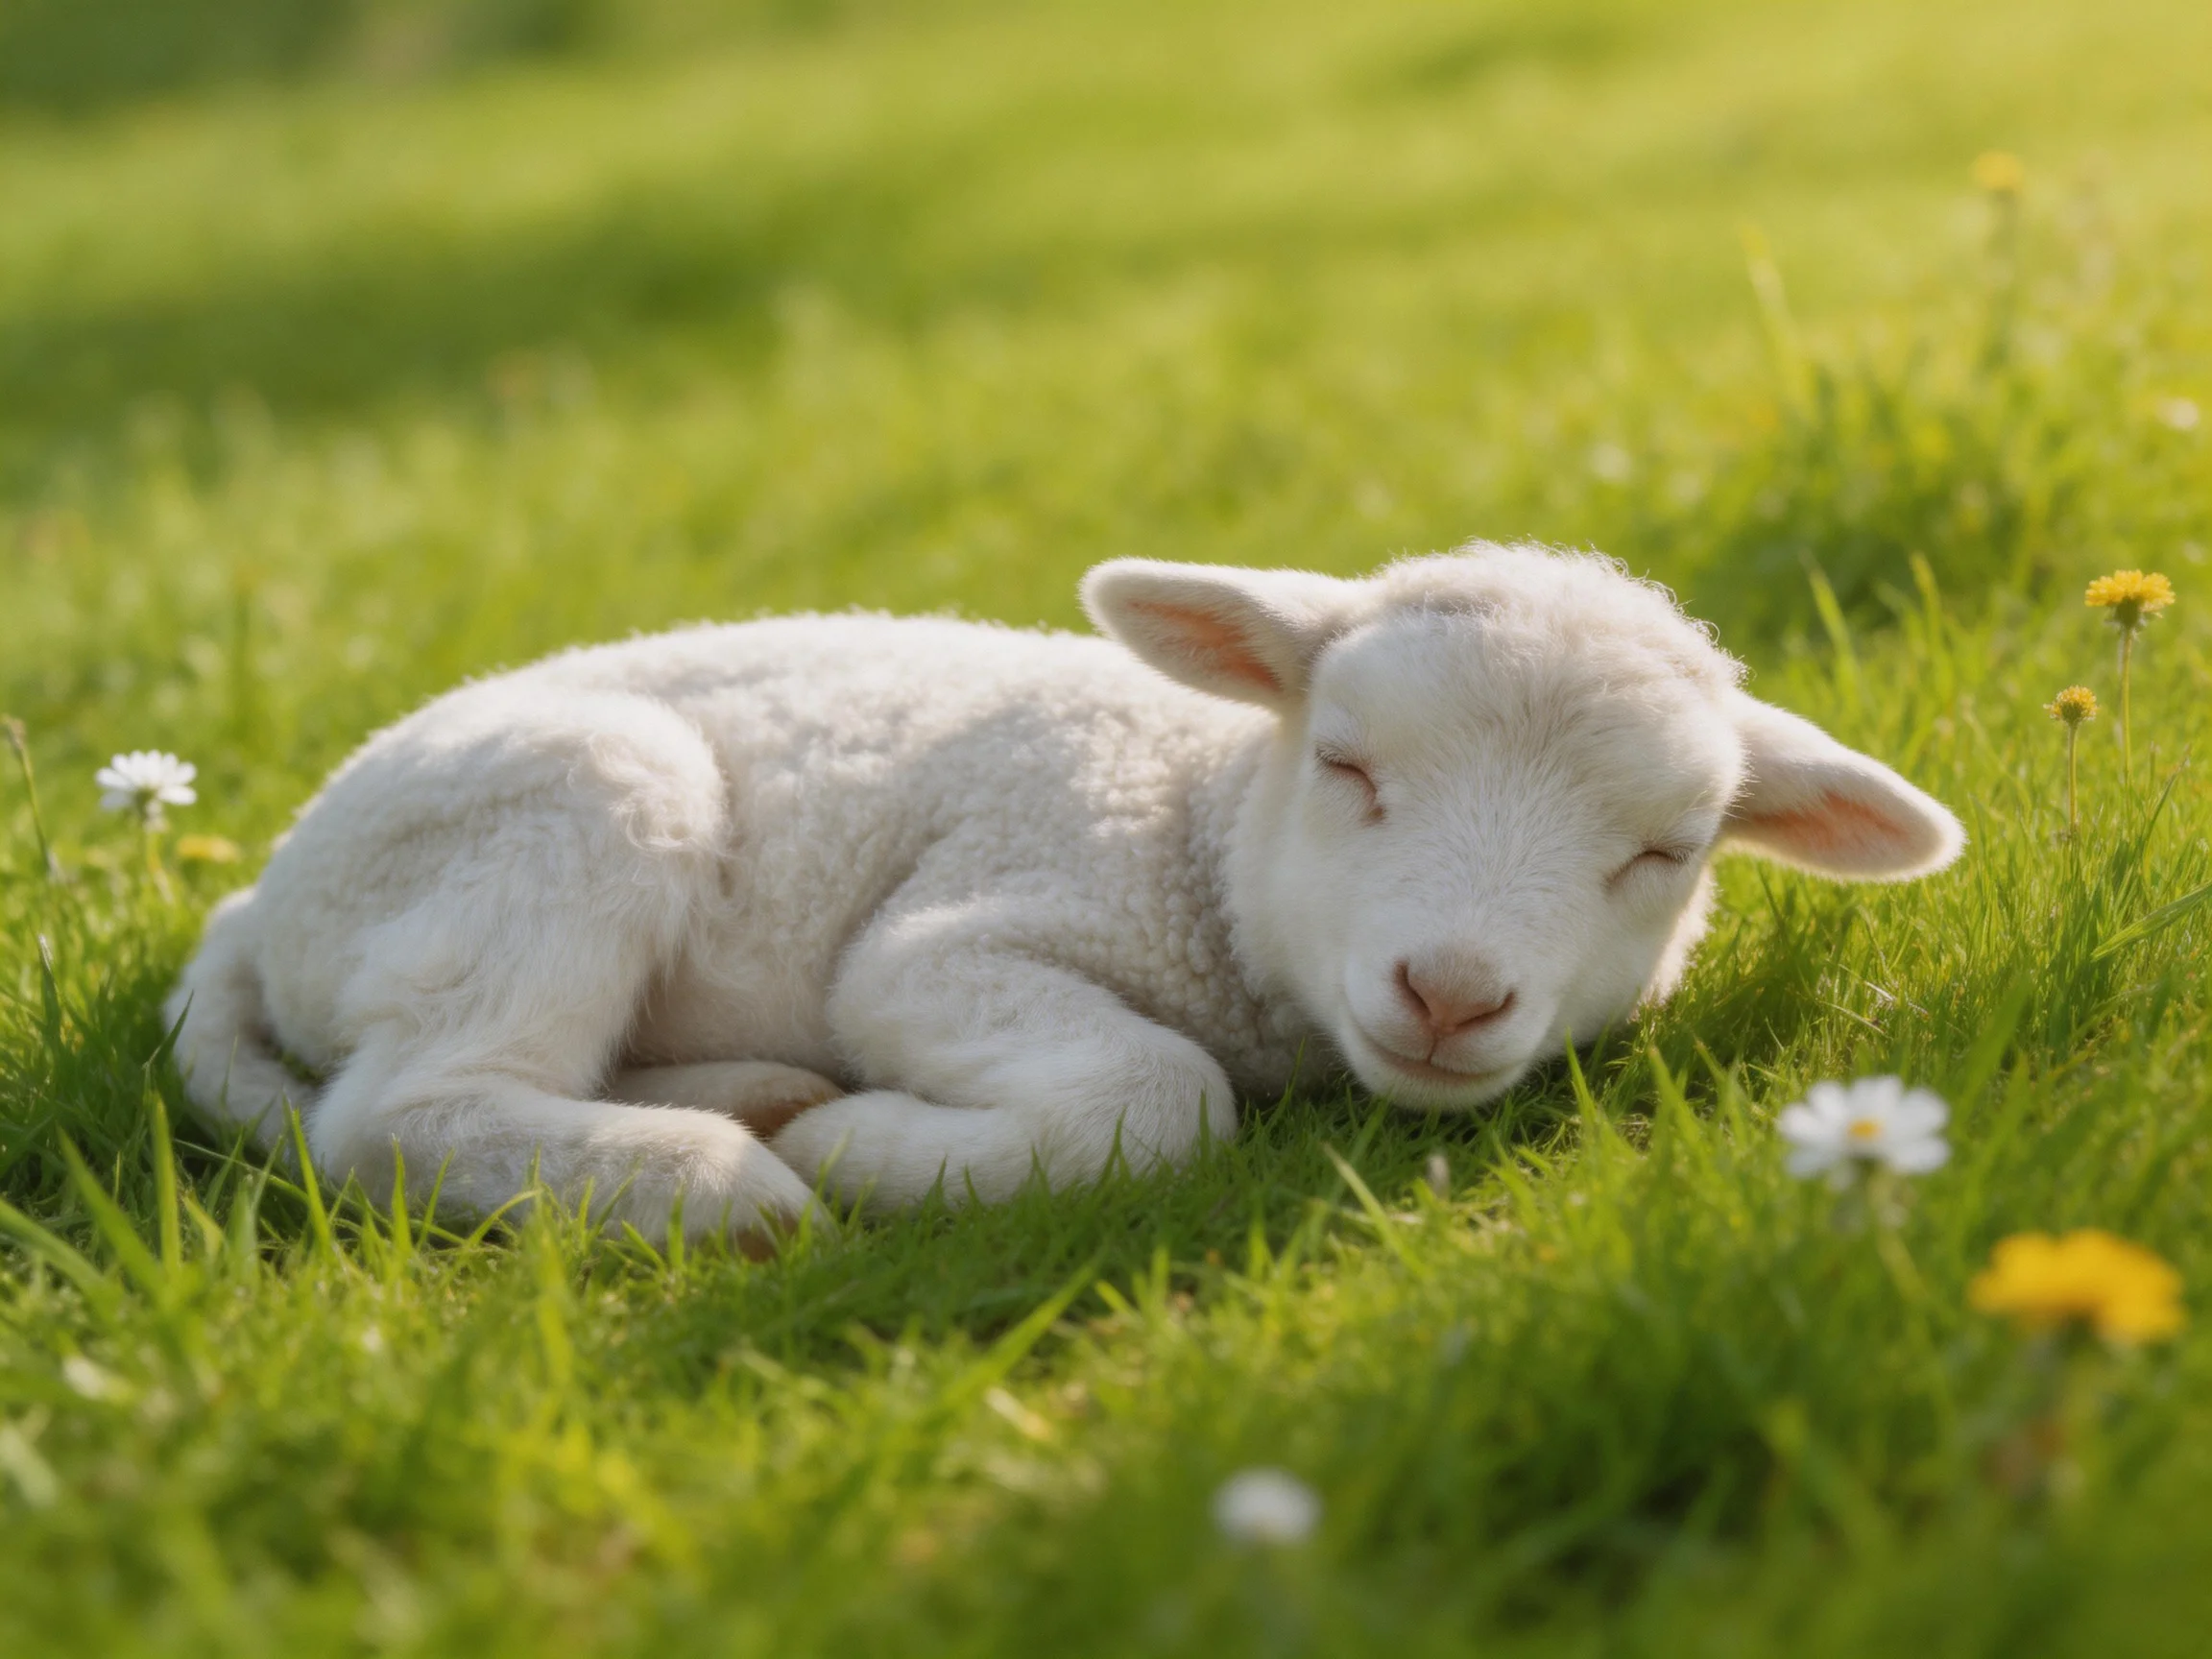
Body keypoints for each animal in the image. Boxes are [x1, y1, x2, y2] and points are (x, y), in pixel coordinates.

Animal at [167, 544, 1963, 1242]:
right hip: (562, 810)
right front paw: (869, 1146)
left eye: (1663, 852)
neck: (1195, 821)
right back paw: (730, 1174)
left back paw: (741, 1093)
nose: (1449, 991)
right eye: (1349, 765)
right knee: (402, 1111)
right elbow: (1155, 1094)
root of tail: (259, 902)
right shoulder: (958, 930)